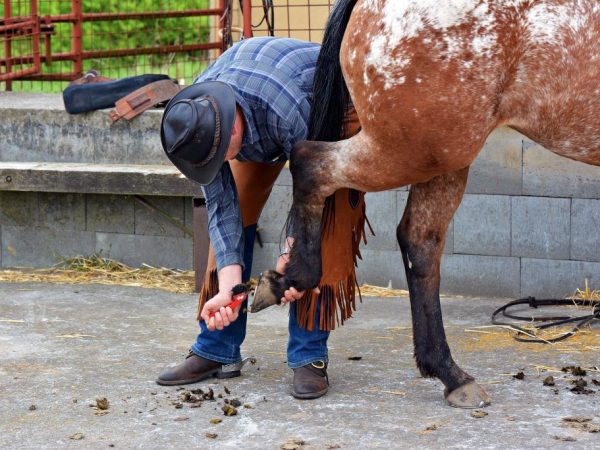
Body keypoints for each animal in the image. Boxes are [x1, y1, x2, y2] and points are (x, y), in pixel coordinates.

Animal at [252, 0, 600, 408]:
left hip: (440, 157)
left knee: (420, 240)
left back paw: (450, 373)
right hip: (417, 151)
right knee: (310, 163)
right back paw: (289, 279)